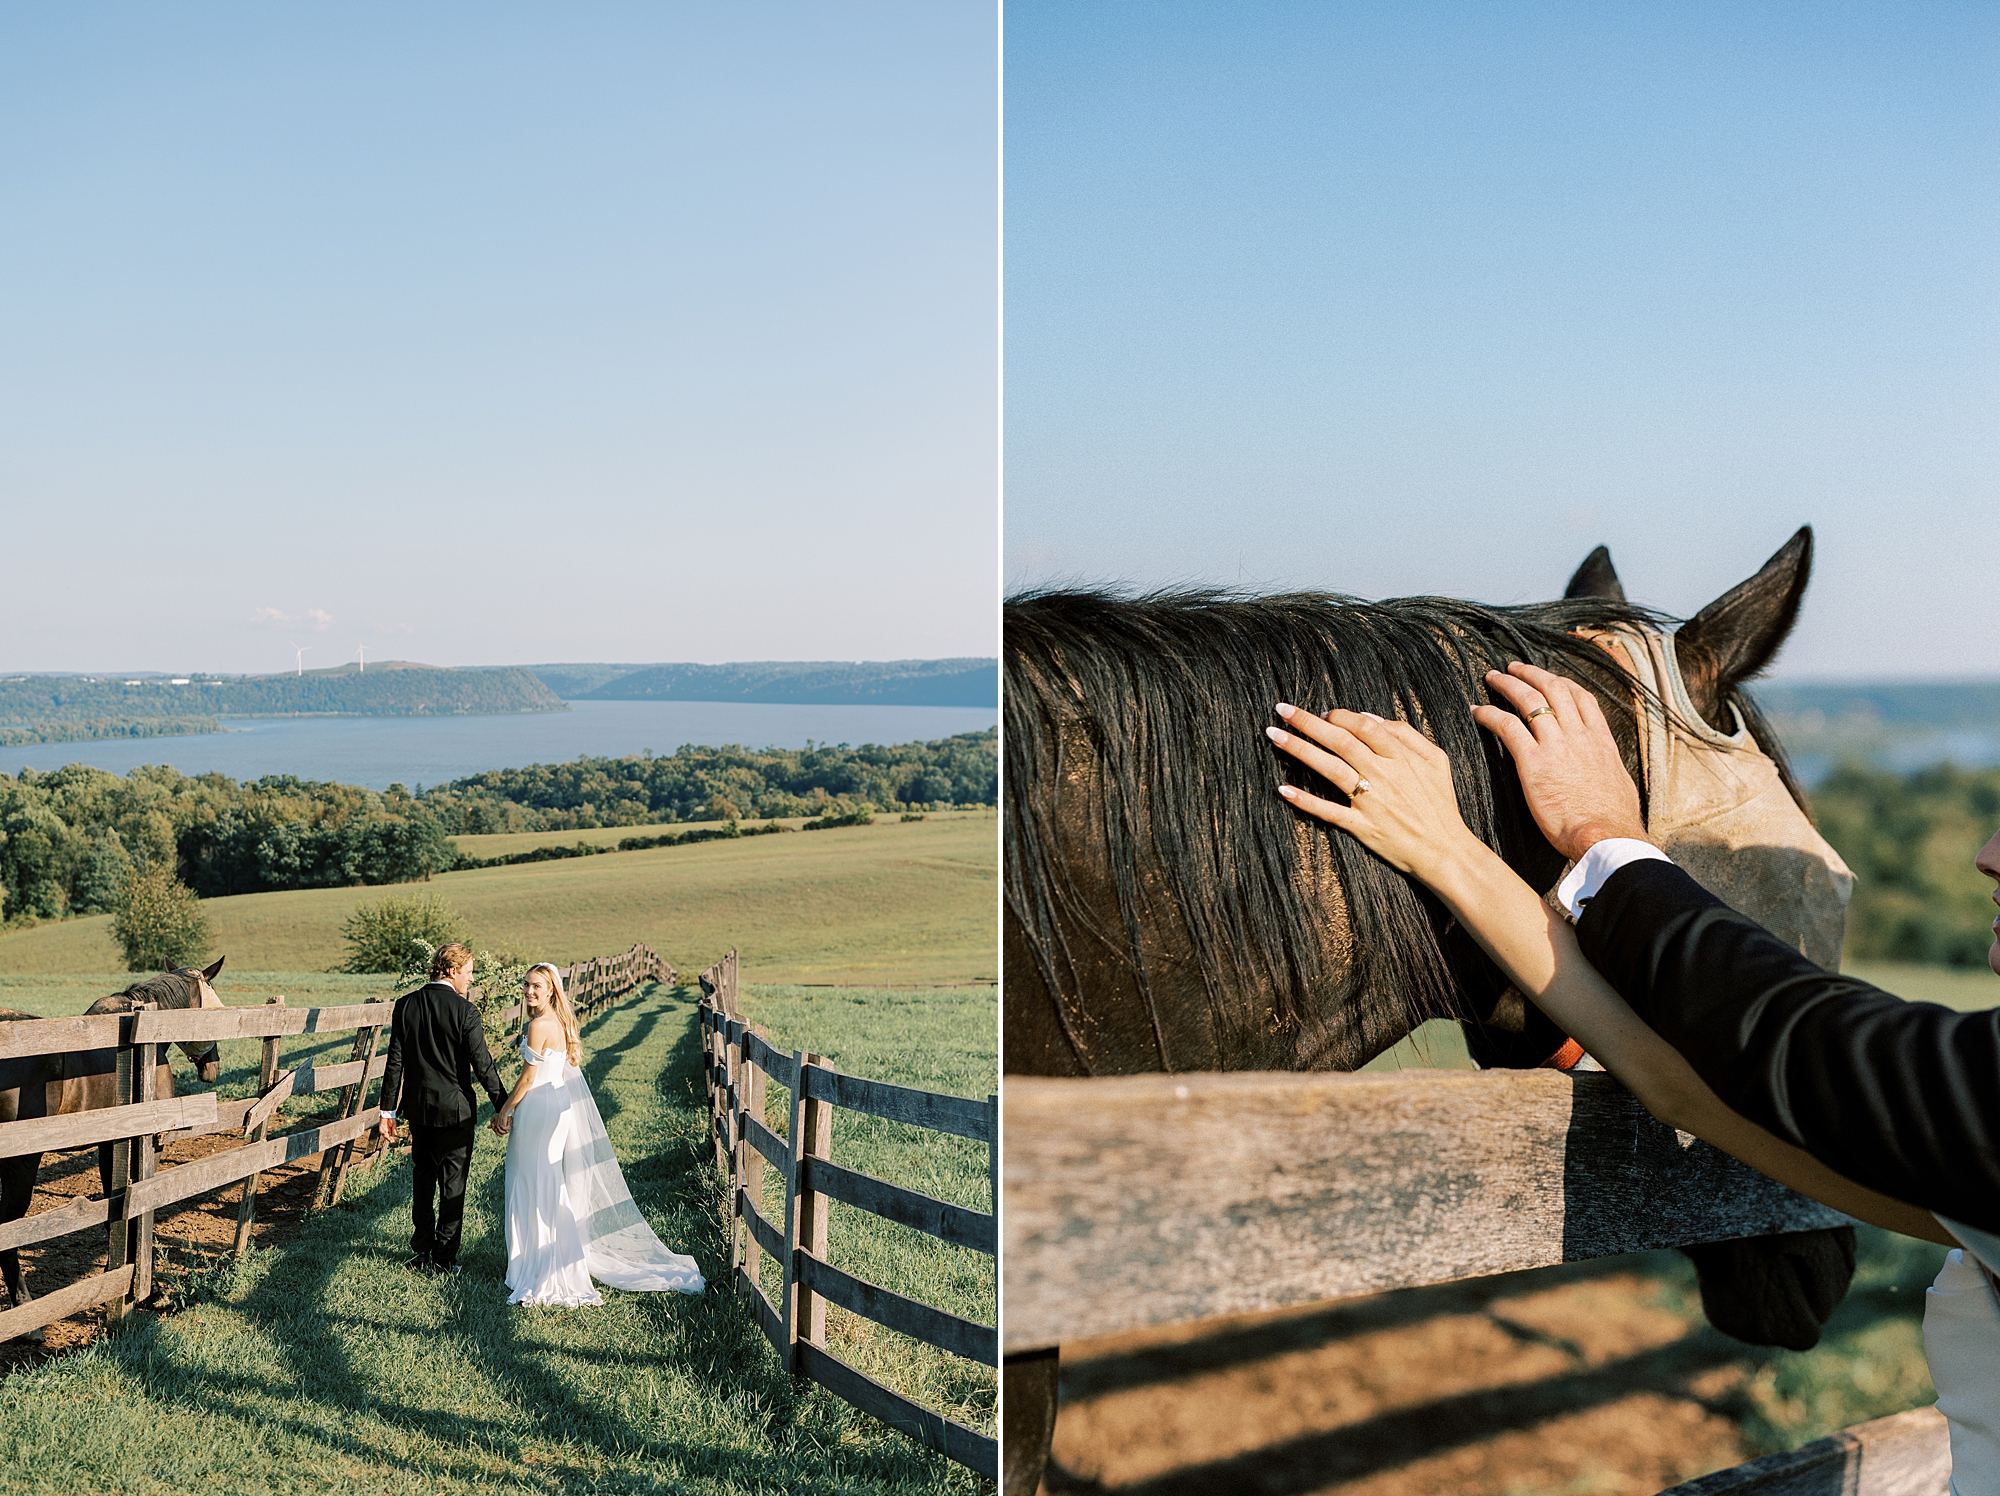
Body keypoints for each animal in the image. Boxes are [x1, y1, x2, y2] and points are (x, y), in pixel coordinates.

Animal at [0, 960, 225, 1336]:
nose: (214, 1065)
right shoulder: (147, 1143)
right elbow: (139, 1212)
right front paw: (147, 1290)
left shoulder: (111, 1146)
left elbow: (115, 1210)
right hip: (21, 1165)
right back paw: (28, 1319)